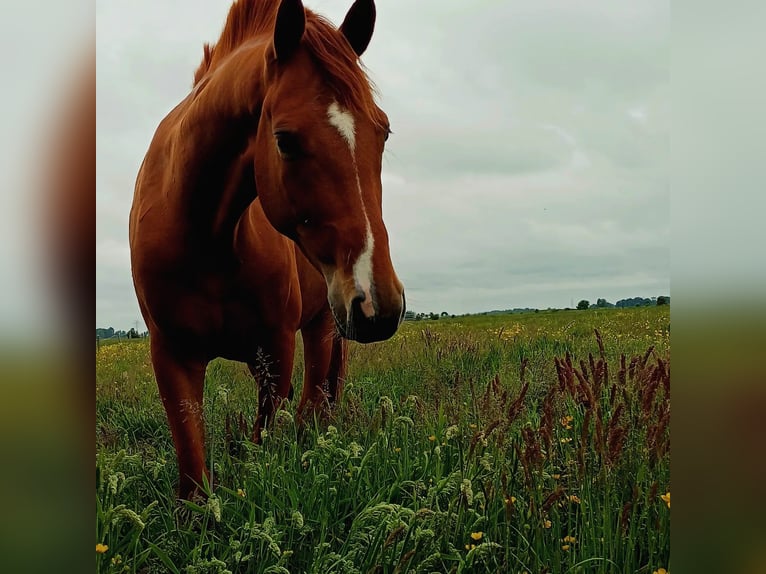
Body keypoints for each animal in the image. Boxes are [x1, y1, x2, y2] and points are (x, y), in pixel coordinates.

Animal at [130, 0, 408, 500]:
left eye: (384, 131)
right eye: (285, 140)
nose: (380, 305)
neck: (206, 238)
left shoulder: (276, 350)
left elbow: (263, 441)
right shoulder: (171, 355)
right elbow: (193, 473)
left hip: (322, 327)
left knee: (313, 402)